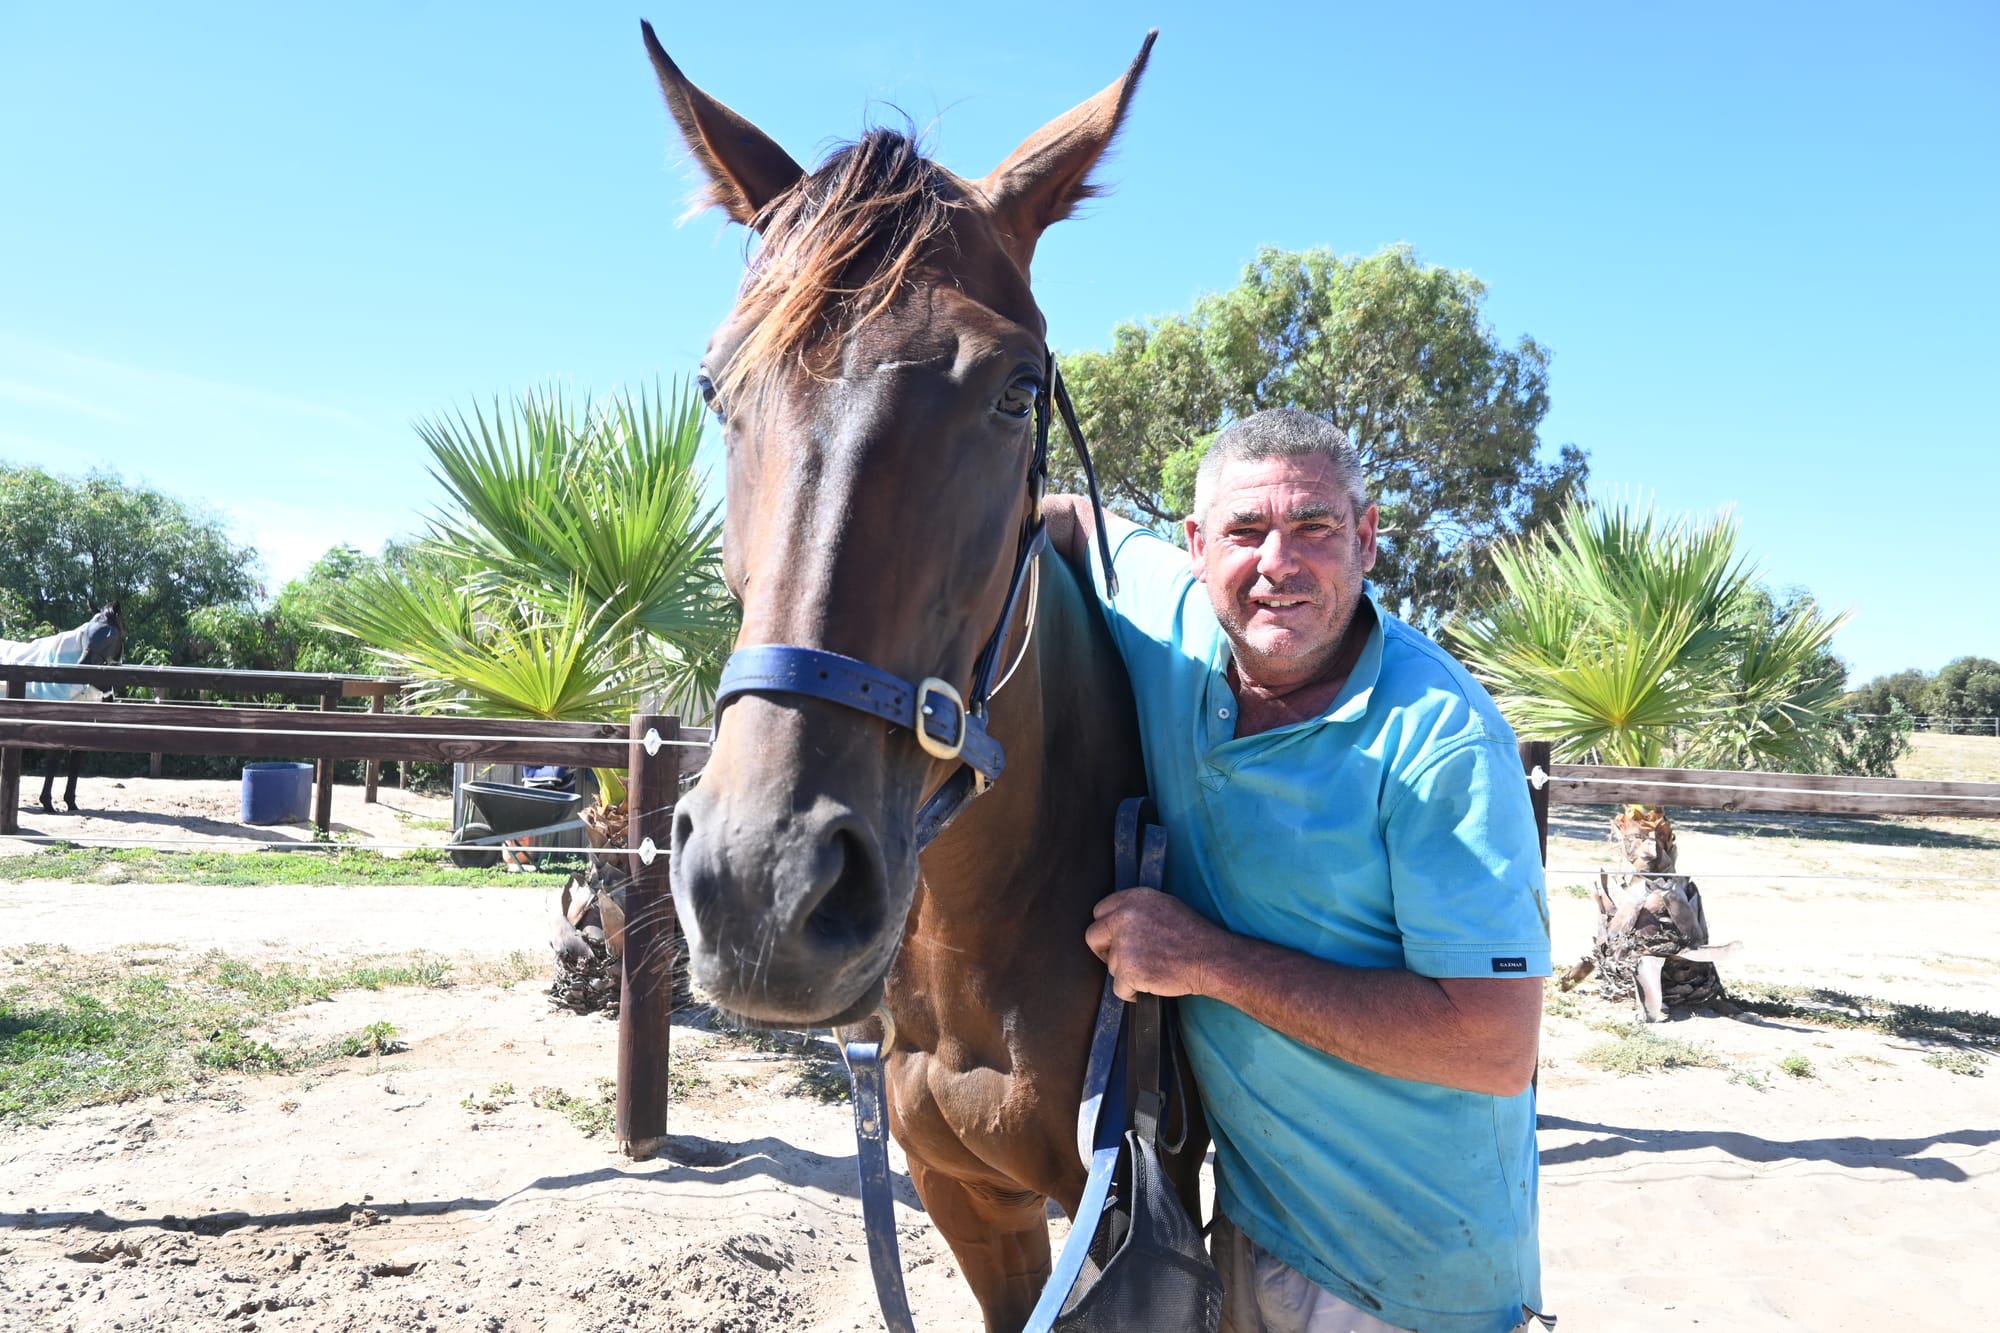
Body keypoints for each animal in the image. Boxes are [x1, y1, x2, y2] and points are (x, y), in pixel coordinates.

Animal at [0, 605, 125, 813]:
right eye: (85, 632)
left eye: (110, 635)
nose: (83, 666)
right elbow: (53, 761)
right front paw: (47, 803)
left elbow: (75, 762)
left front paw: (71, 803)